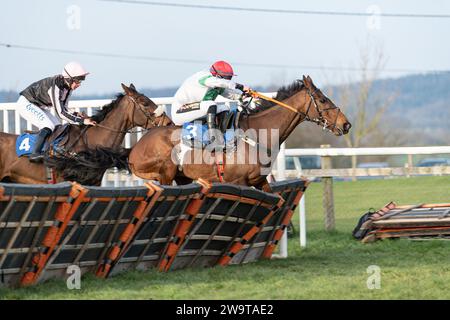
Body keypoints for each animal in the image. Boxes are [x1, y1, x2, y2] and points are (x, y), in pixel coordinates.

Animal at [126, 75, 352, 190]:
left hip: (184, 177)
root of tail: (134, 149)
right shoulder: (238, 182)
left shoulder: (260, 181)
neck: (258, 133)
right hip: (165, 172)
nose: (346, 124)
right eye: (322, 100)